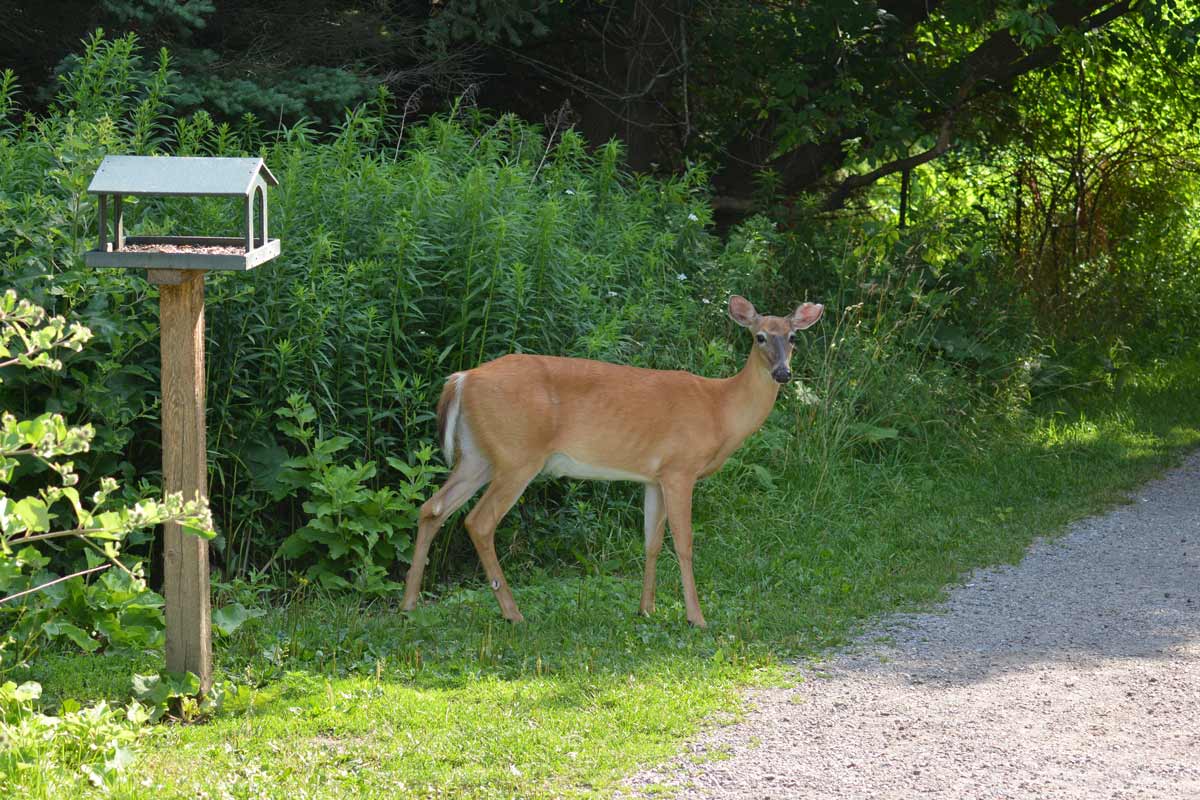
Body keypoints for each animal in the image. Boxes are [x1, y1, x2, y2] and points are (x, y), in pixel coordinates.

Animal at [401, 295, 824, 627]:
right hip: (517, 455)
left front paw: (647, 609)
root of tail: (461, 379)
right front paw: (696, 617)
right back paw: (512, 612)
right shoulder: (680, 469)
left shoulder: (654, 477)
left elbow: (651, 541)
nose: (783, 373)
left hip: (477, 456)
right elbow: (684, 542)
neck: (719, 409)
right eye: (759, 336)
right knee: (479, 521)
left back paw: (408, 604)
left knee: (431, 508)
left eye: (793, 337)